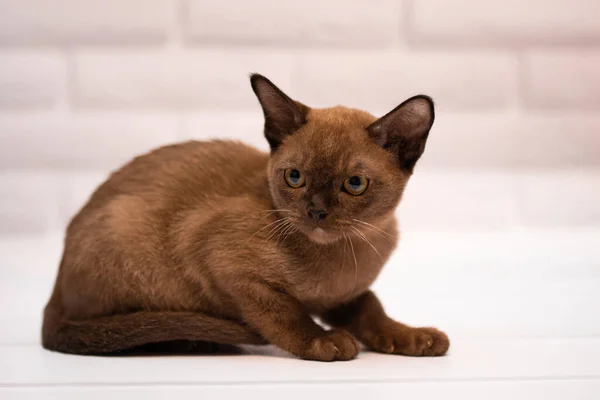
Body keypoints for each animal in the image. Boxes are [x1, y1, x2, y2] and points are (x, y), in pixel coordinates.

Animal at [39, 73, 448, 360]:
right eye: (295, 177)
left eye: (355, 184)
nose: (316, 210)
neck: (343, 257)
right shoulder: (225, 264)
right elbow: (284, 314)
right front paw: (325, 342)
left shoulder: (346, 295)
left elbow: (372, 310)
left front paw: (413, 337)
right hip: (128, 229)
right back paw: (194, 342)